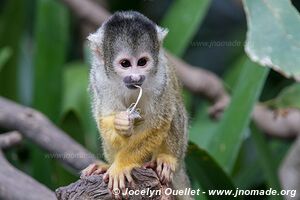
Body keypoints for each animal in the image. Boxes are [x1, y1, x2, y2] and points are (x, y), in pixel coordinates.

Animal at [81, 11, 191, 200]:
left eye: (142, 62)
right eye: (125, 64)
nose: (135, 77)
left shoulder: (161, 76)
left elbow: (156, 124)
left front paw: (121, 165)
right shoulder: (99, 78)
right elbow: (103, 118)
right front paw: (120, 124)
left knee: (172, 108)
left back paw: (166, 158)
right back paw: (106, 165)